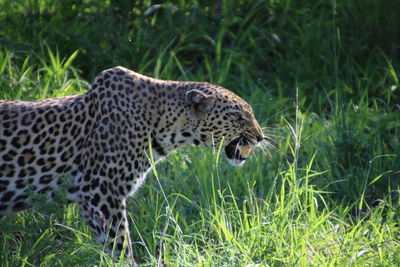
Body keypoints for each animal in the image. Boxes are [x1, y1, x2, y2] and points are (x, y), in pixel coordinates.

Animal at [0, 66, 266, 264]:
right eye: (238, 116)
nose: (261, 137)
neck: (162, 124)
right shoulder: (102, 192)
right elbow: (121, 245)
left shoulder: (88, 201)